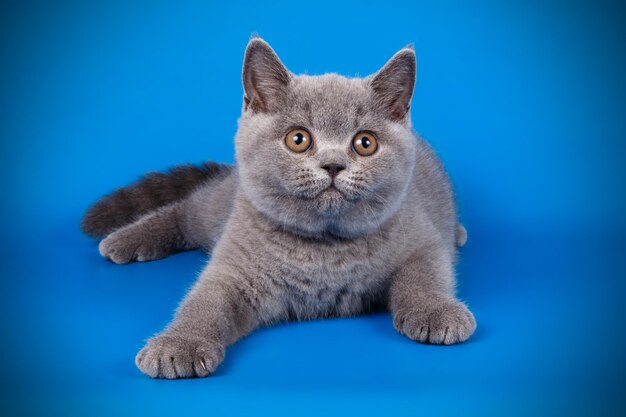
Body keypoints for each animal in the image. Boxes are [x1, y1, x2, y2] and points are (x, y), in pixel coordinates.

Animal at [81, 37, 472, 378]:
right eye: (298, 139)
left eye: (365, 143)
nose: (333, 165)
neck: (325, 249)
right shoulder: (234, 266)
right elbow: (205, 301)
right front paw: (179, 344)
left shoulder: (421, 238)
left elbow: (424, 276)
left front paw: (437, 312)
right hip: (221, 206)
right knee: (186, 210)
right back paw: (124, 240)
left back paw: (460, 233)